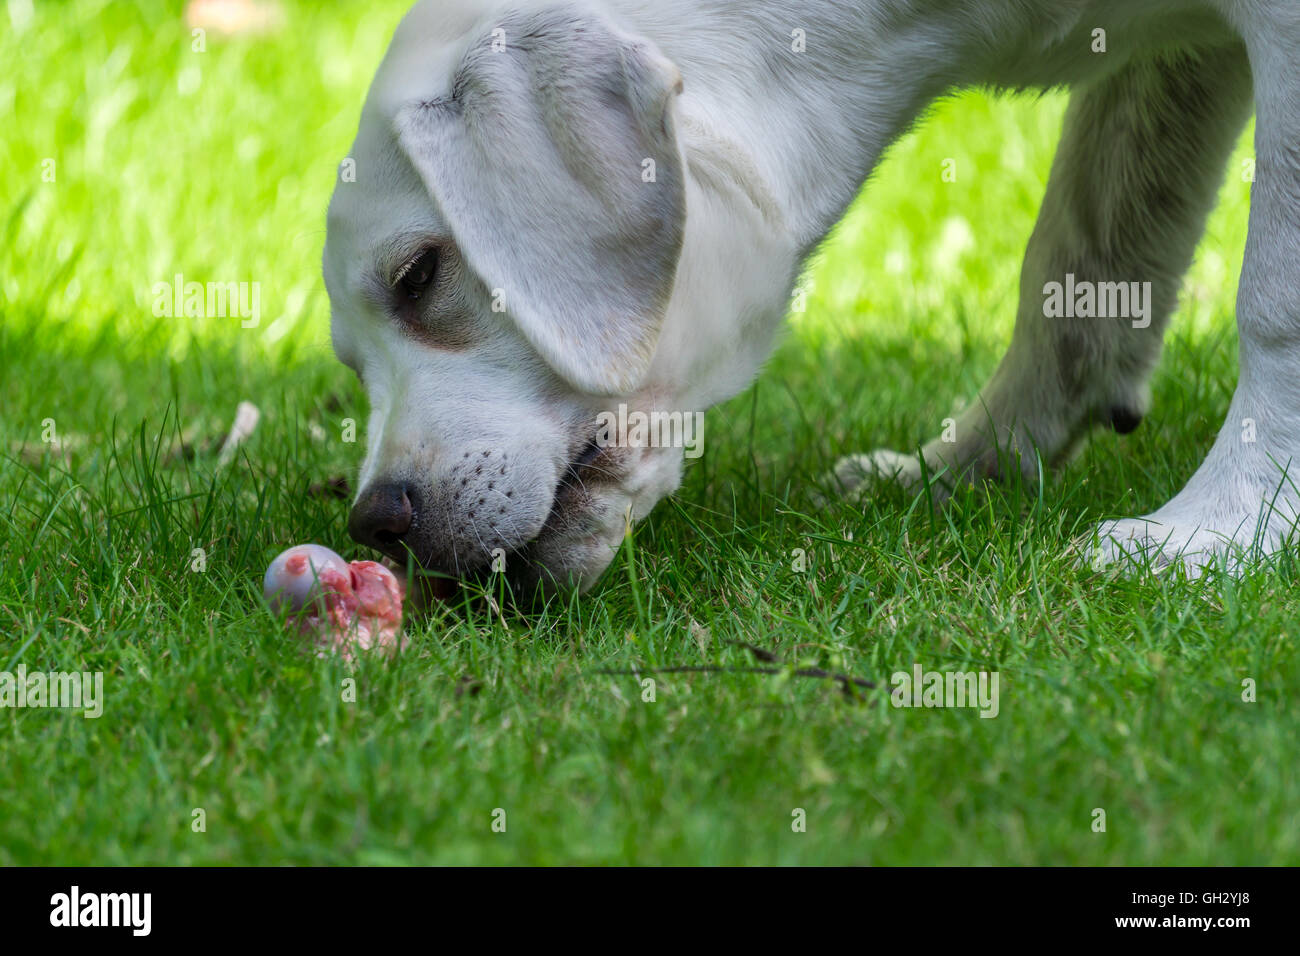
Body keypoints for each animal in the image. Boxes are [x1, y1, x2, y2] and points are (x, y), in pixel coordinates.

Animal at [322, 0, 1300, 598]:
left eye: (419, 276)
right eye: (353, 366)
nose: (375, 521)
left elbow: (1272, 301)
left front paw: (1223, 528)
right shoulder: (1182, 59)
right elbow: (1082, 265)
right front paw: (970, 471)